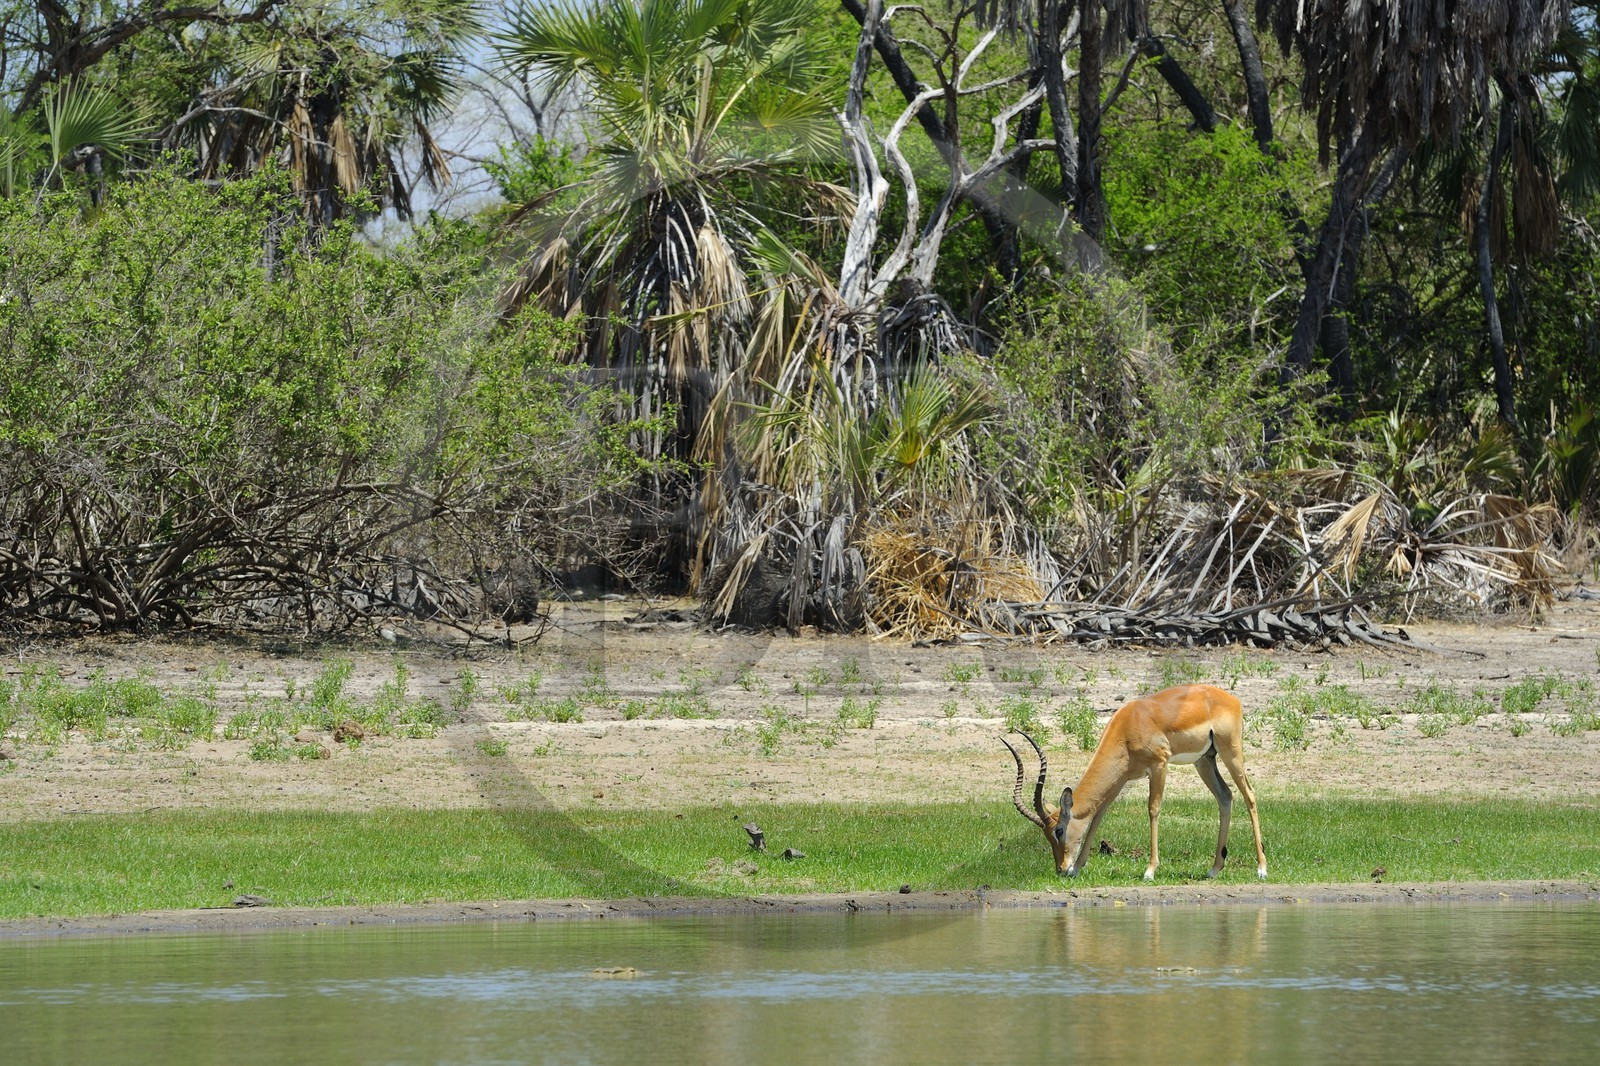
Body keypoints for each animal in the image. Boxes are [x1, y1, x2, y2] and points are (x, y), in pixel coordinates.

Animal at [1002, 684, 1266, 881]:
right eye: (1046, 834)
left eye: (1058, 830)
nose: (1061, 868)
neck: (1128, 726)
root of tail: (1231, 699)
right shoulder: (1121, 779)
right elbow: (1098, 816)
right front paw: (1077, 868)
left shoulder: (1159, 765)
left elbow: (1153, 809)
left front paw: (1150, 870)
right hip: (1204, 761)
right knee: (1225, 796)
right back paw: (1214, 869)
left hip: (1230, 751)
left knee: (1249, 795)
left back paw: (1261, 868)